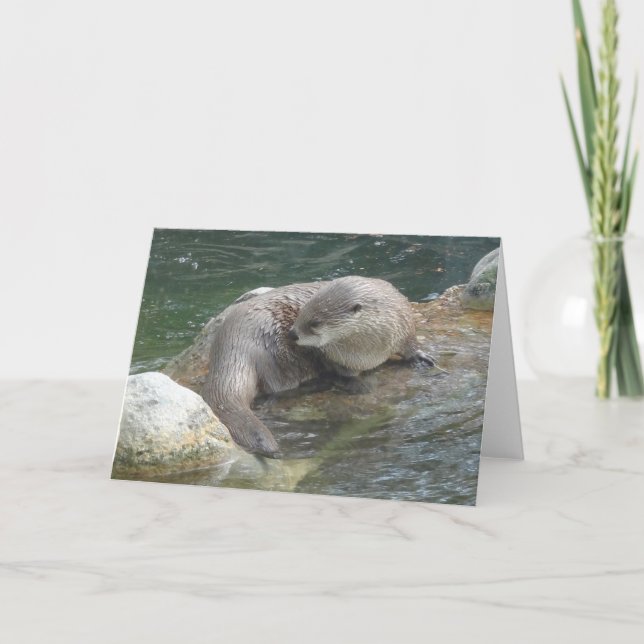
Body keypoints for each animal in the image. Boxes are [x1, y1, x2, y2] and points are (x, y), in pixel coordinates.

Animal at [202, 276, 435, 458]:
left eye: (315, 323)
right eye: (300, 313)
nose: (292, 333)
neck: (369, 349)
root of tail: (233, 343)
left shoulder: (403, 322)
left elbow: (409, 343)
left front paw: (419, 357)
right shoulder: (330, 355)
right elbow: (342, 370)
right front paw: (357, 383)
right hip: (275, 353)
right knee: (279, 387)